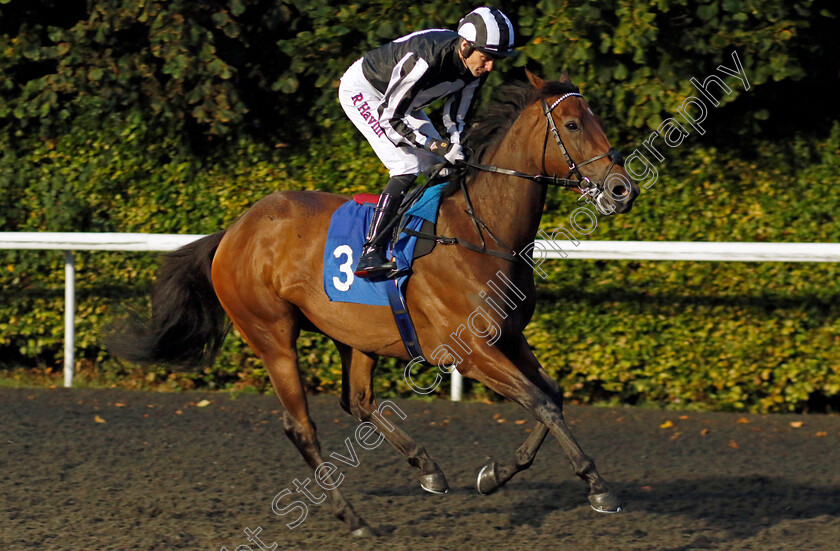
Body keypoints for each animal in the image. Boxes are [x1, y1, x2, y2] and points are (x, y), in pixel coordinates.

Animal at [108, 71, 640, 536]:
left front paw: (496, 475)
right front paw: (598, 487)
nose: (622, 189)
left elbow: (552, 395)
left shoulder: (509, 336)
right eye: (573, 124)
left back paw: (428, 469)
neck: (480, 232)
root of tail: (233, 232)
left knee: (358, 402)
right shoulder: (469, 351)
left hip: (354, 336)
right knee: (302, 427)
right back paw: (355, 518)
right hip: (271, 335)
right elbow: (539, 402)